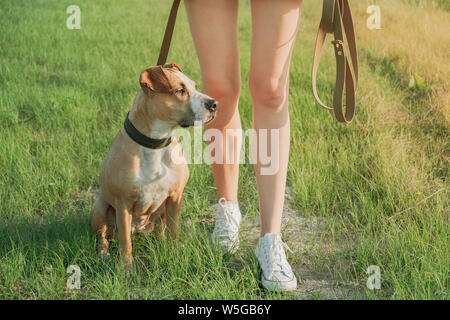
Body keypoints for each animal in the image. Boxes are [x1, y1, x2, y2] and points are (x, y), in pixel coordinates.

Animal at [89, 63, 216, 272]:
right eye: (180, 91)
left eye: (195, 86)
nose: (214, 104)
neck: (155, 144)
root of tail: (139, 228)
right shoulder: (123, 204)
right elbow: (125, 243)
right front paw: (126, 269)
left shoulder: (175, 197)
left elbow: (173, 228)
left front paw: (174, 252)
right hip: (100, 206)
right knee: (104, 236)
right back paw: (104, 254)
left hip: (161, 209)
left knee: (160, 230)